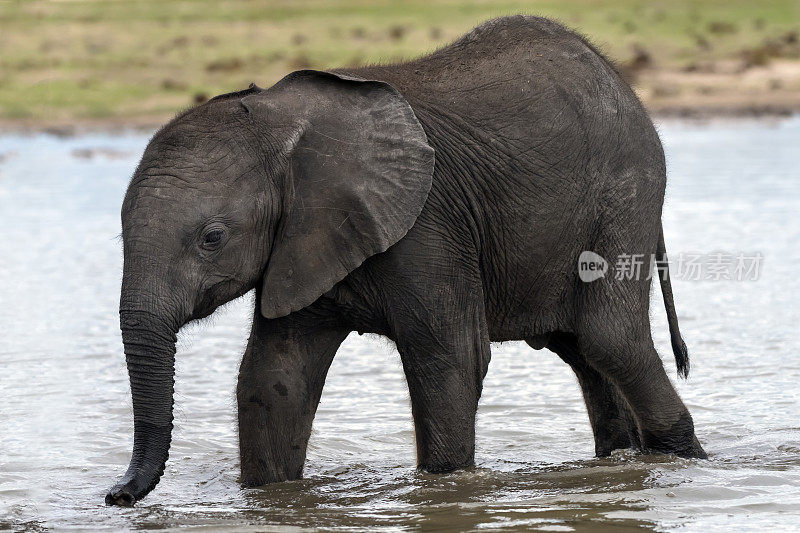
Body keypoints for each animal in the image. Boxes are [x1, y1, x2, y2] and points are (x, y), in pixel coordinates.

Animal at [104, 15, 708, 508]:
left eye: (211, 238)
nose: (116, 495)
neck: (282, 124)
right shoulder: (304, 241)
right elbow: (275, 376)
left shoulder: (427, 225)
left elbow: (450, 359)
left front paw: (447, 494)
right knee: (584, 349)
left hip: (624, 196)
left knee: (609, 339)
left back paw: (683, 461)